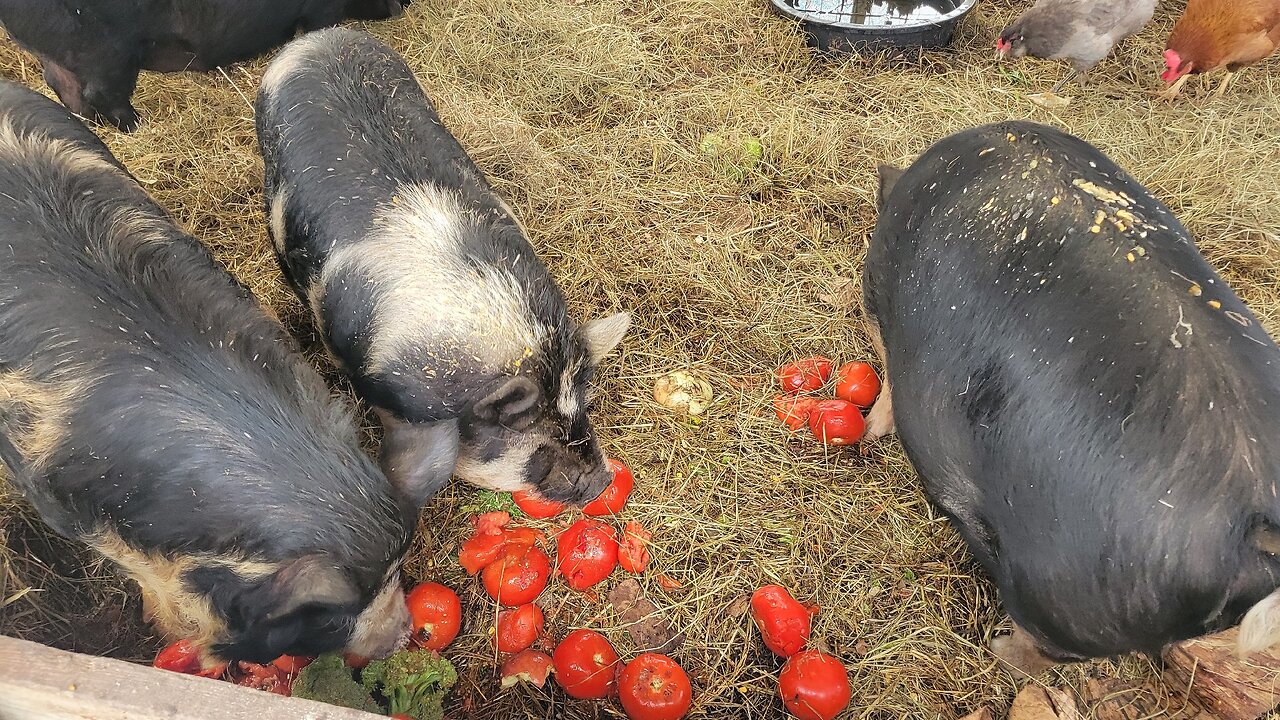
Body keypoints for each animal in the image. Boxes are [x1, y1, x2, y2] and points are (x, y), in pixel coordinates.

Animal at [0, 0, 407, 131]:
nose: (400, 6)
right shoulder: (321, 7)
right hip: (106, 54)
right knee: (102, 95)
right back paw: (138, 126)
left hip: (61, 57)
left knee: (64, 89)